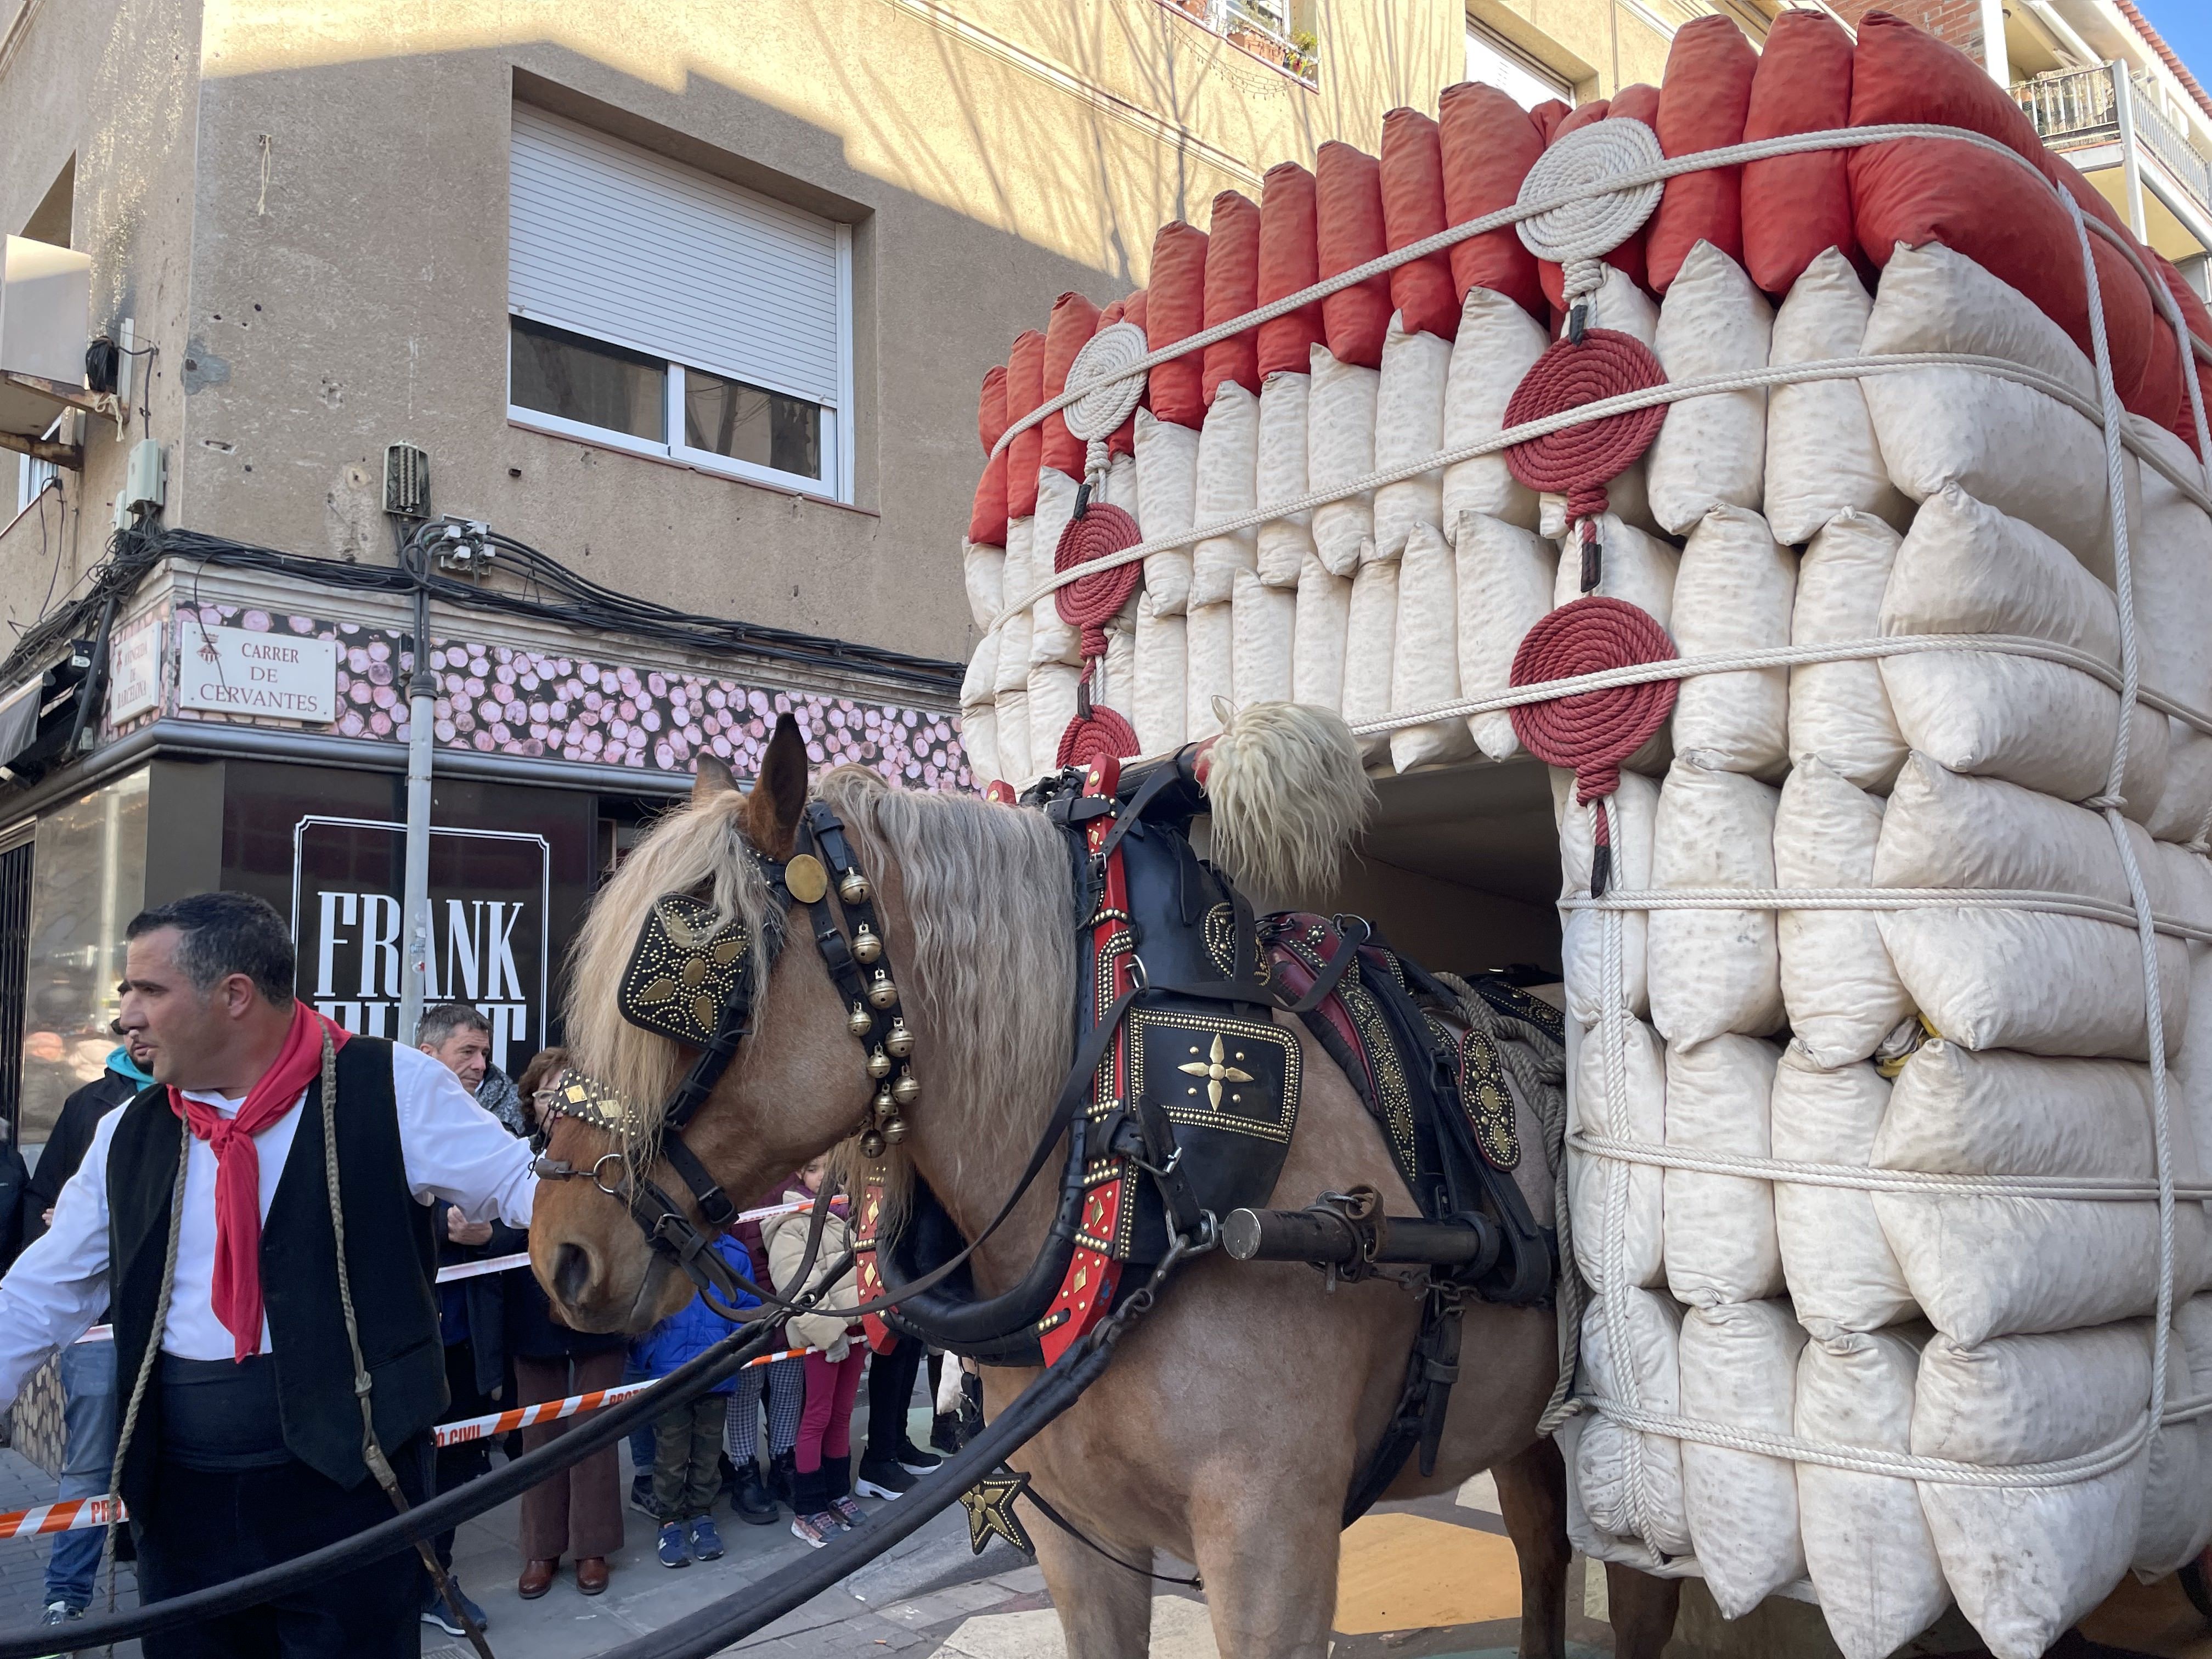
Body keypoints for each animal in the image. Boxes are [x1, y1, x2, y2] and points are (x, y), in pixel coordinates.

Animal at [531, 708, 1672, 1654]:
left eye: (700, 979)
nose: (558, 1250)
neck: (1140, 1177)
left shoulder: (1273, 1540)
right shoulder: (1080, 1535)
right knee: (1541, 1546)